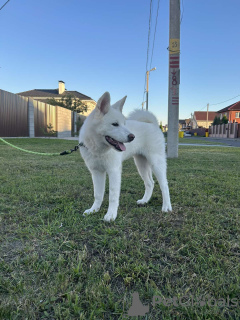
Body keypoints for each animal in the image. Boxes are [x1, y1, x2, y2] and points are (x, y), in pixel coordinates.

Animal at [79, 91, 171, 221]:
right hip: (141, 165)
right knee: (150, 183)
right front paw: (94, 210)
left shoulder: (114, 171)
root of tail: (153, 124)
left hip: (156, 163)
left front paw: (111, 214)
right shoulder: (96, 172)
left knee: (164, 185)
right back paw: (144, 201)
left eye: (124, 124)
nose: (132, 137)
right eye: (115, 124)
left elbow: (112, 195)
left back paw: (167, 207)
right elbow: (98, 194)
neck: (98, 149)